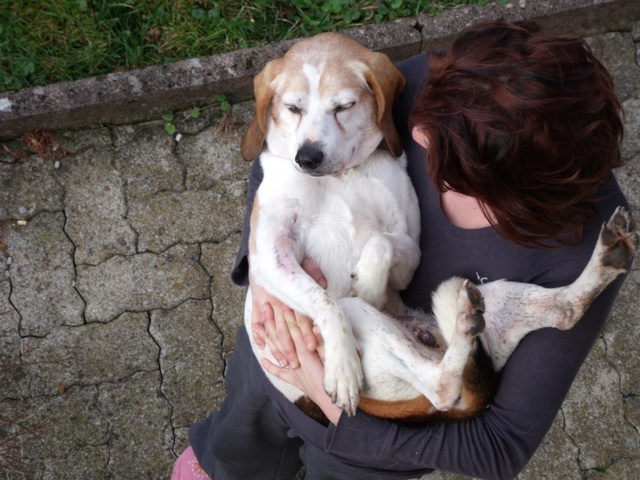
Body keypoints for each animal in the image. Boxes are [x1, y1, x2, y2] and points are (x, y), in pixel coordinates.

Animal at [238, 31, 636, 420]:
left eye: (343, 106)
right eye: (293, 108)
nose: (307, 158)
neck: (340, 177)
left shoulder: (407, 250)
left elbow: (383, 243)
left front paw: (367, 283)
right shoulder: (268, 258)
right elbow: (324, 302)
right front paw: (343, 368)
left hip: (470, 301)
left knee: (457, 377)